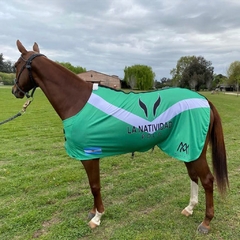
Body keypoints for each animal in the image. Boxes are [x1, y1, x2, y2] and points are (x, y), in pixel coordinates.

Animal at [11, 40, 229, 233]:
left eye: (15, 66)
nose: (15, 91)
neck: (77, 101)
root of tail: (204, 100)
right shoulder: (89, 155)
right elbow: (93, 185)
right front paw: (93, 212)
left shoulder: (90, 155)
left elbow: (95, 185)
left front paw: (97, 217)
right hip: (187, 148)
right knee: (193, 176)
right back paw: (190, 208)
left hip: (195, 150)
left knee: (207, 180)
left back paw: (206, 222)